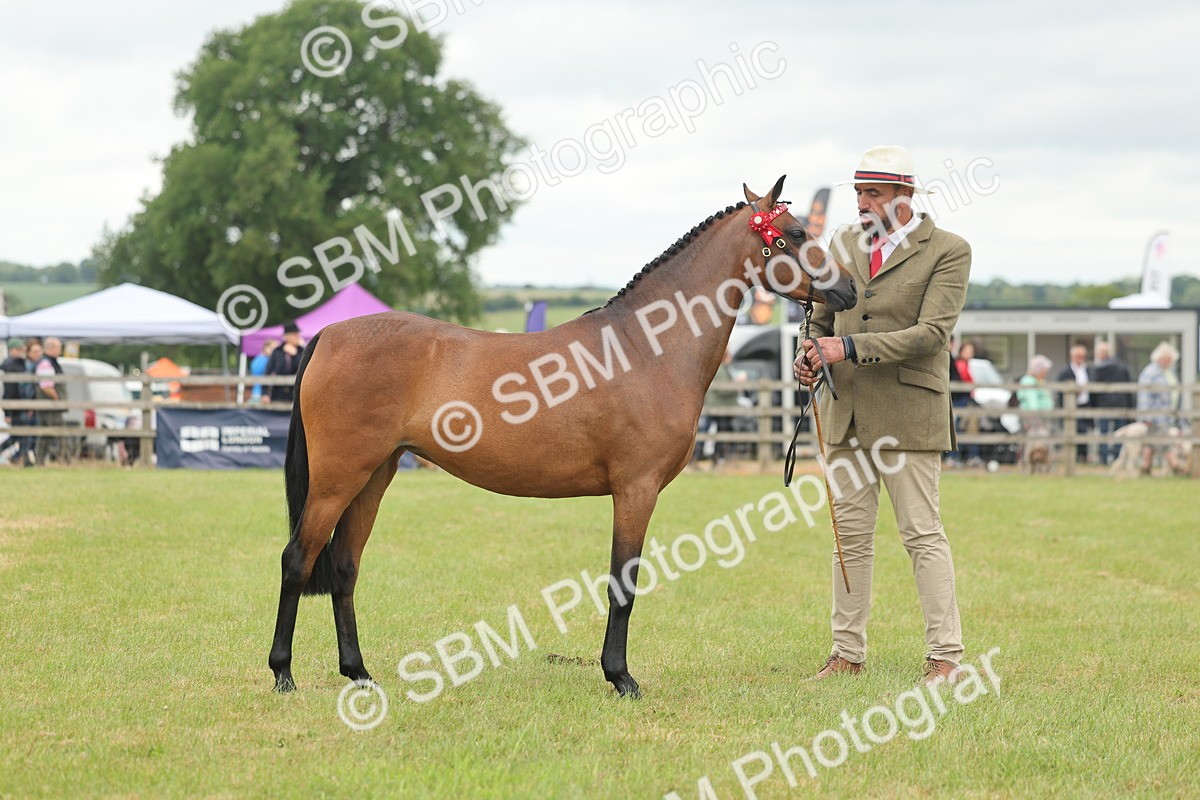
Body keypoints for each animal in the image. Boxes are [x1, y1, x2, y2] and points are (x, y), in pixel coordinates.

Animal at [268, 176, 858, 698]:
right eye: (797, 233)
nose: (849, 289)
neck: (645, 347)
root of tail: (329, 335)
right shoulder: (636, 490)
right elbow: (623, 584)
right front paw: (621, 678)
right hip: (337, 479)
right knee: (298, 560)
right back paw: (283, 674)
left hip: (375, 475)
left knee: (344, 568)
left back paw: (359, 673)